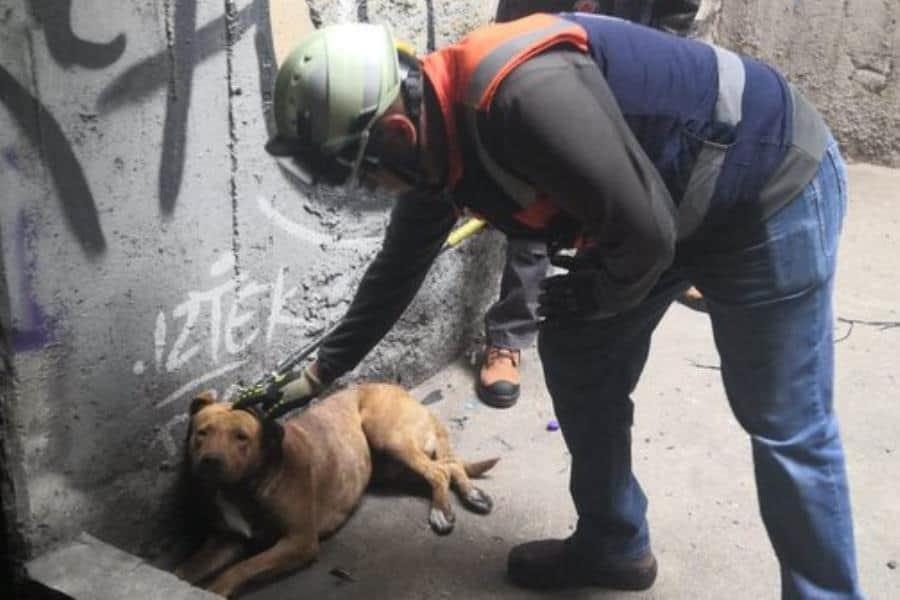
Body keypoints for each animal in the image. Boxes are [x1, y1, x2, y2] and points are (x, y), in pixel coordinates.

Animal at [174, 382, 500, 596]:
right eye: (202, 433)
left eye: (241, 437)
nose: (210, 462)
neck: (246, 485)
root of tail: (400, 390)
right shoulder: (225, 540)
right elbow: (185, 569)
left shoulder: (299, 541)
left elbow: (240, 568)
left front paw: (215, 589)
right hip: (391, 465)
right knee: (449, 464)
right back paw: (471, 493)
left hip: (388, 437)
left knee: (438, 471)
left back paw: (441, 510)